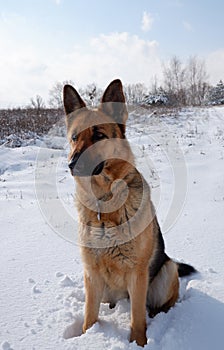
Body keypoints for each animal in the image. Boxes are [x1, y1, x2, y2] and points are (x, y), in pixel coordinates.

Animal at [63, 80, 196, 348]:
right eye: (74, 137)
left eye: (99, 136)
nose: (71, 165)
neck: (104, 204)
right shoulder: (91, 275)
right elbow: (89, 316)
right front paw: (87, 337)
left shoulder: (137, 274)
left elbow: (136, 317)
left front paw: (139, 342)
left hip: (166, 271)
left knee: (156, 305)